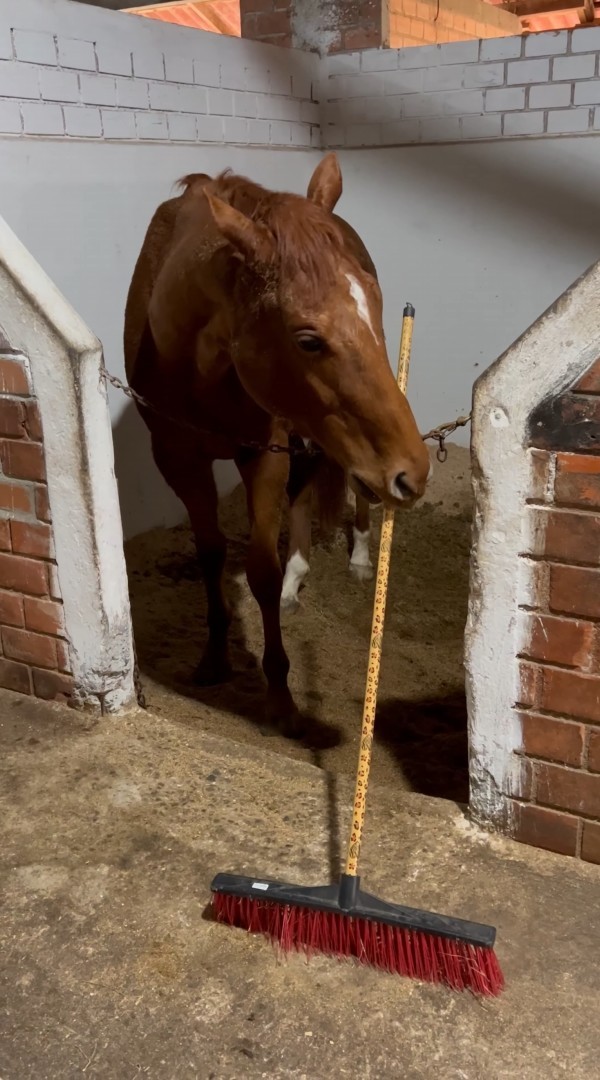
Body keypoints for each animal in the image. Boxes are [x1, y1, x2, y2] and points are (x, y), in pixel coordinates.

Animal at [124, 154, 429, 743]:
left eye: (379, 311)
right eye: (308, 339)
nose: (414, 471)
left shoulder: (263, 452)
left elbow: (260, 568)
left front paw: (280, 697)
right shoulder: (177, 458)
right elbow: (211, 552)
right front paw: (216, 656)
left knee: (349, 491)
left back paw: (359, 557)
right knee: (306, 495)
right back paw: (297, 580)